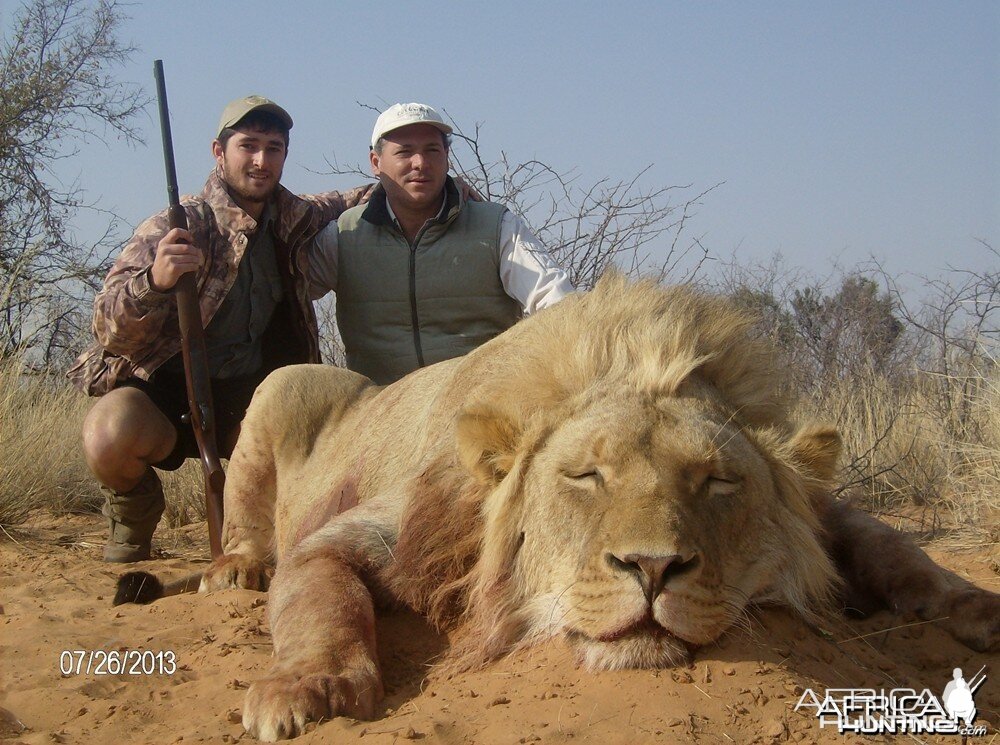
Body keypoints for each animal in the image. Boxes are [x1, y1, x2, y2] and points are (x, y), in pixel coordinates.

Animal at [115, 274, 992, 744]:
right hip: (284, 384)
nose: (653, 568)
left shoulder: (819, 506)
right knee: (251, 524)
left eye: (715, 482)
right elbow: (321, 600)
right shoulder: (365, 534)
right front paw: (309, 687)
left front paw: (973, 605)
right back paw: (233, 569)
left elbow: (892, 544)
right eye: (586, 475)